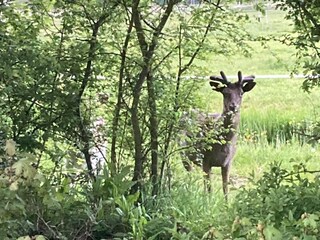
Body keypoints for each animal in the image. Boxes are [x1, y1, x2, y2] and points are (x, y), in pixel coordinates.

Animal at [180, 71, 255, 201]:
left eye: (241, 93)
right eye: (225, 93)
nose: (233, 106)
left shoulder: (228, 162)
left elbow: (225, 188)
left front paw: (226, 204)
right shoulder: (205, 159)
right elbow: (210, 188)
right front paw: (208, 203)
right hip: (183, 152)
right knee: (190, 174)